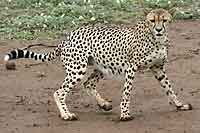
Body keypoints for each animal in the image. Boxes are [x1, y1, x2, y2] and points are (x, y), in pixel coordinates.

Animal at [4, 8, 192, 120]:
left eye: (164, 20)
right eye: (152, 21)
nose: (159, 29)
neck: (156, 38)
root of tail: (67, 37)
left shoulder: (158, 68)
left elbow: (170, 89)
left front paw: (180, 105)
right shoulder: (131, 68)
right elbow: (126, 94)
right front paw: (125, 114)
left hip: (101, 66)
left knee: (88, 84)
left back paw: (104, 104)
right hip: (77, 69)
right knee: (59, 92)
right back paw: (67, 115)